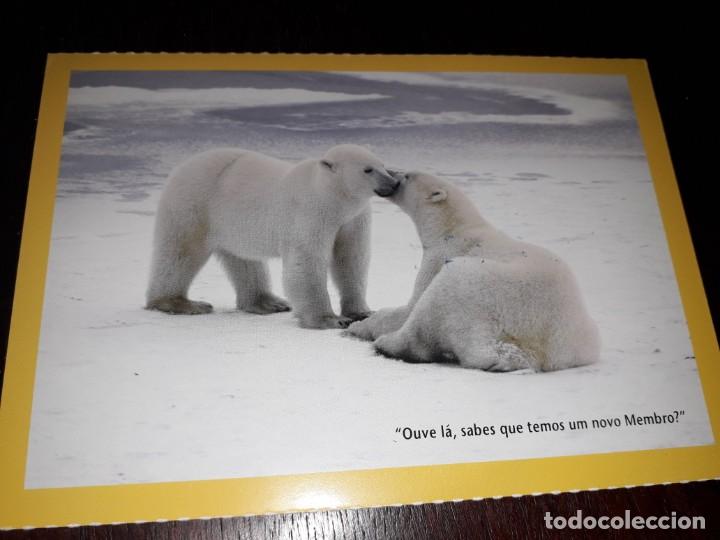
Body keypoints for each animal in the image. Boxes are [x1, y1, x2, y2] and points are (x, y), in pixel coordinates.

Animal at [145, 144, 400, 329]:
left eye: (383, 165)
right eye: (368, 169)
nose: (394, 182)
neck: (334, 196)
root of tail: (183, 166)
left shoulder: (353, 219)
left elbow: (351, 258)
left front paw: (362, 312)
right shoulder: (311, 213)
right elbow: (307, 262)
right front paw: (330, 319)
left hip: (233, 224)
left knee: (244, 261)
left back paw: (268, 302)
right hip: (193, 204)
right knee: (181, 251)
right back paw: (180, 303)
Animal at [346, 171, 600, 371]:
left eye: (407, 176)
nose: (392, 173)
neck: (451, 227)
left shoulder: (440, 254)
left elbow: (411, 305)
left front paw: (359, 326)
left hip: (477, 289)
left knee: (432, 312)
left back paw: (386, 344)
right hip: (580, 340)